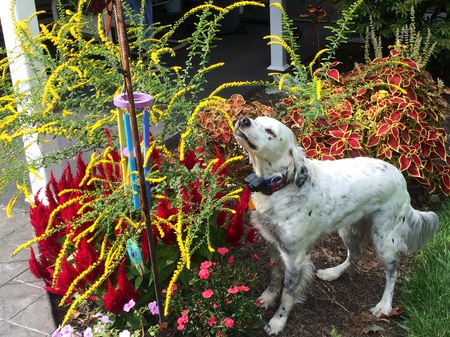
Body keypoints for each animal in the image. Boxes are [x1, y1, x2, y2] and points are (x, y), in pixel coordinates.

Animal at [234, 115, 438, 334]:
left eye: (270, 132)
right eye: (256, 119)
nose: (243, 119)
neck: (281, 187)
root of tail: (402, 179)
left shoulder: (295, 257)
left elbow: (287, 295)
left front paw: (277, 321)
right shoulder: (273, 243)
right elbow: (274, 276)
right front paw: (268, 297)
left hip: (385, 241)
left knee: (392, 273)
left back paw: (384, 305)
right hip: (348, 230)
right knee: (355, 255)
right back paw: (333, 273)